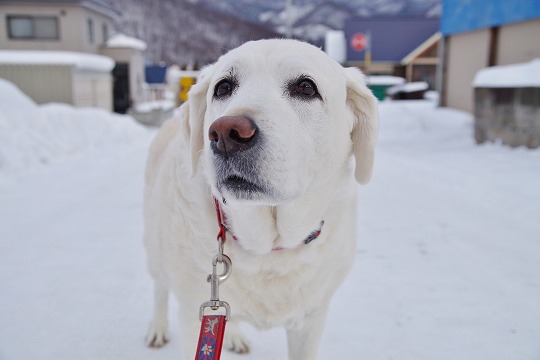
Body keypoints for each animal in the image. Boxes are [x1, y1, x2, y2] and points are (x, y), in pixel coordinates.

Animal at [144, 38, 380, 358]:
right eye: (223, 87)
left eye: (306, 87)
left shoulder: (311, 319)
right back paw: (157, 328)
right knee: (159, 290)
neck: (270, 248)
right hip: (155, 248)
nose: (225, 133)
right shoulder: (196, 317)